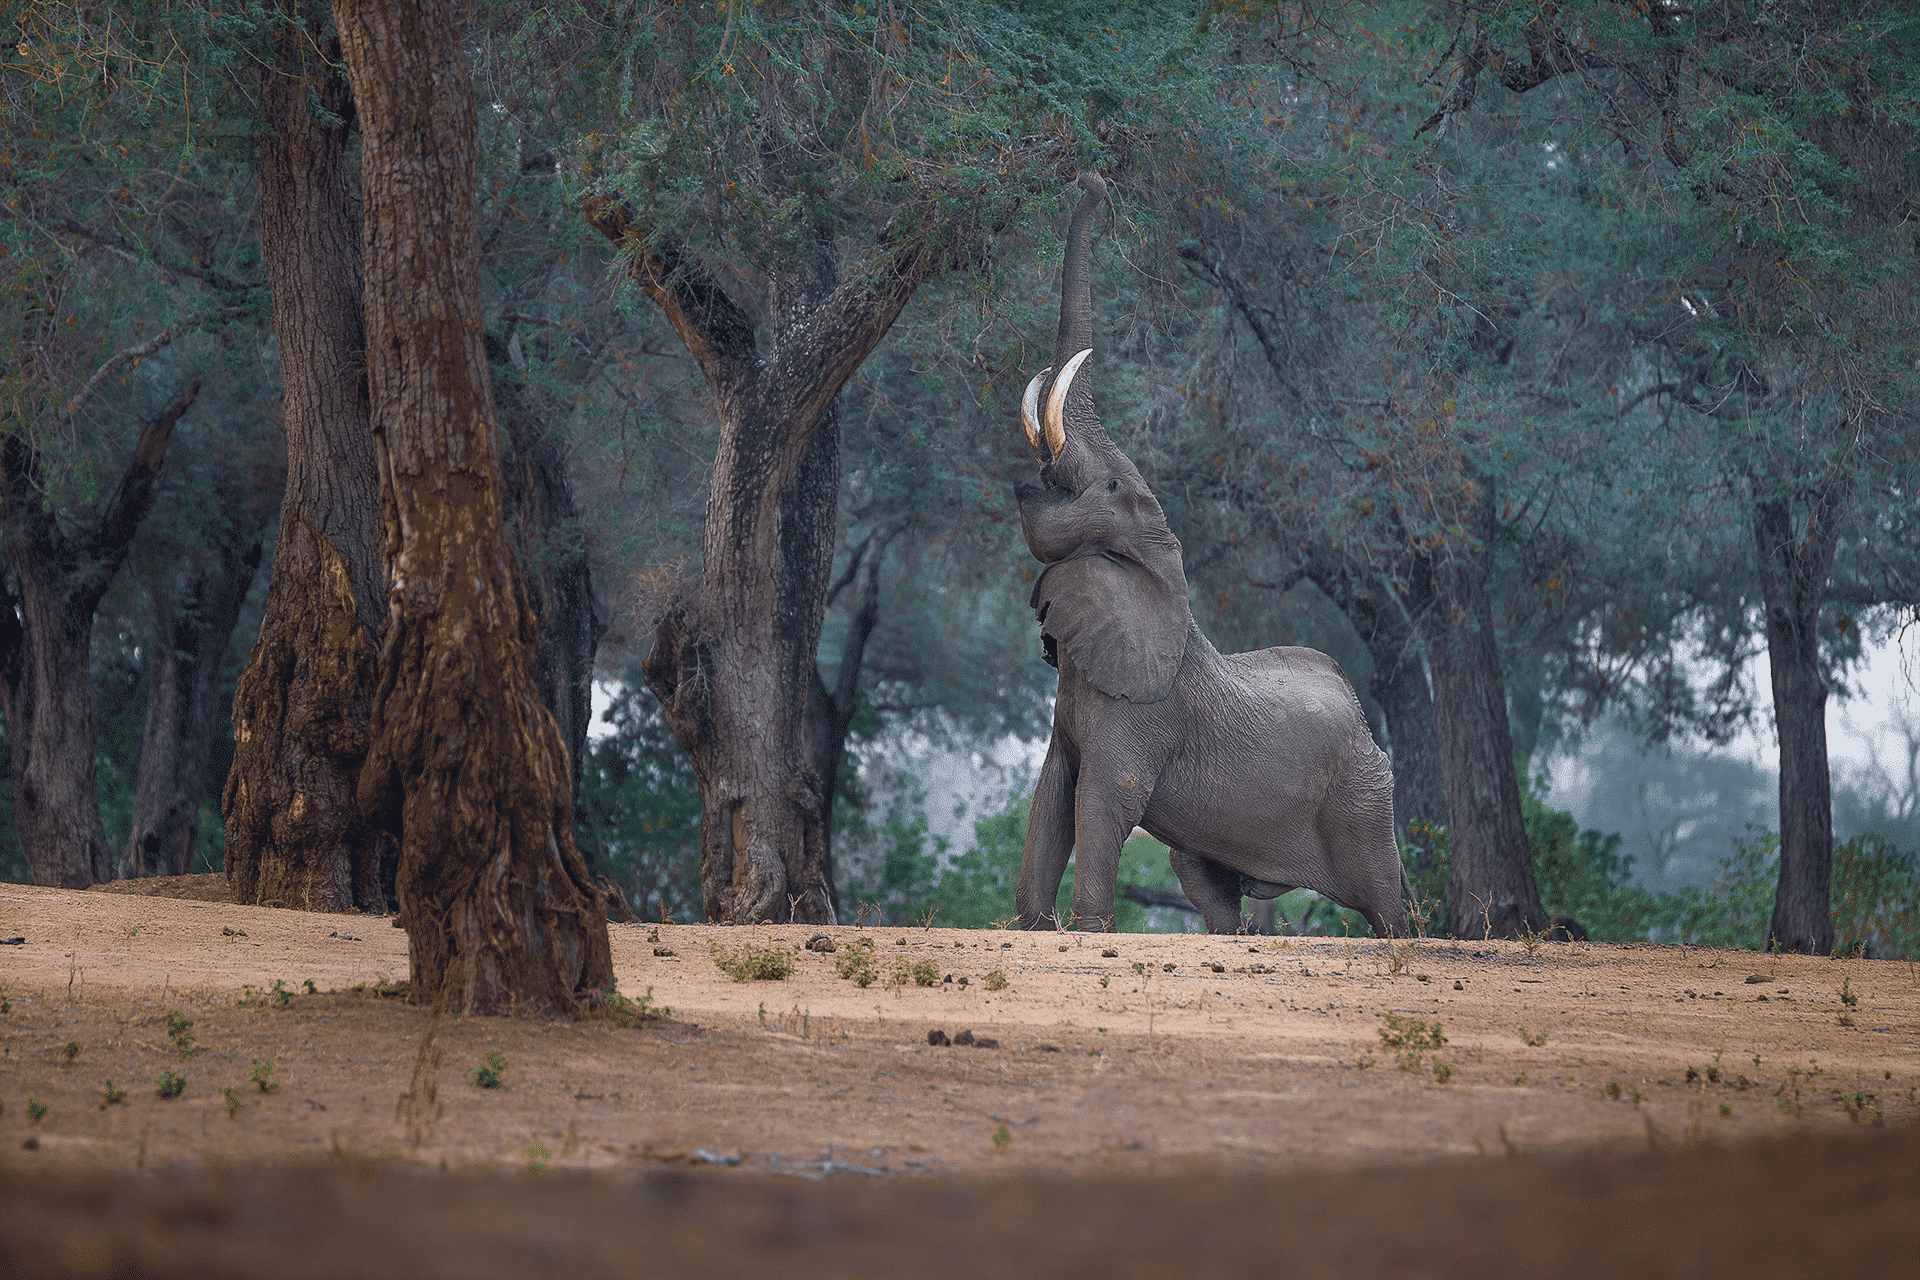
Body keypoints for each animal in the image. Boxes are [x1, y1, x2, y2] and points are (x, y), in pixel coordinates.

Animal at [1006, 175, 1413, 936]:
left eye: (1113, 486)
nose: (1095, 182)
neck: (1162, 577)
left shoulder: (1145, 713)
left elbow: (1104, 798)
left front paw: (1088, 930)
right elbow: (1053, 795)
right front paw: (1032, 928)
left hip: (1365, 796)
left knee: (1387, 903)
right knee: (1206, 885)